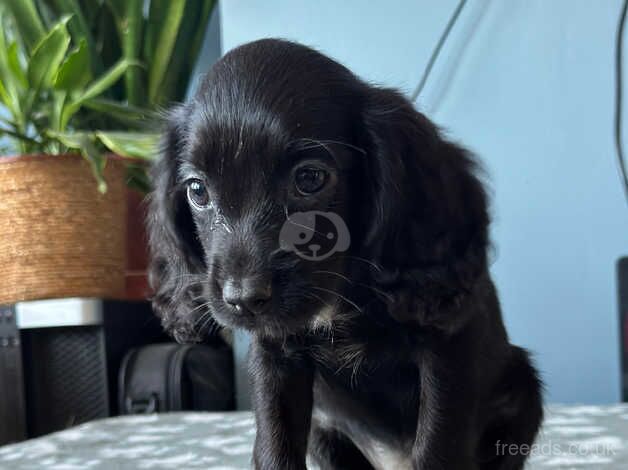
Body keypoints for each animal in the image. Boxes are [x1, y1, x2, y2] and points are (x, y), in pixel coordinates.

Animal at [148, 38, 544, 468]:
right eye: (197, 190)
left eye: (310, 178)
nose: (243, 300)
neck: (343, 297)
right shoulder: (276, 358)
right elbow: (274, 446)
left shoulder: (447, 349)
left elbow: (438, 446)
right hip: (325, 430)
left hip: (524, 394)